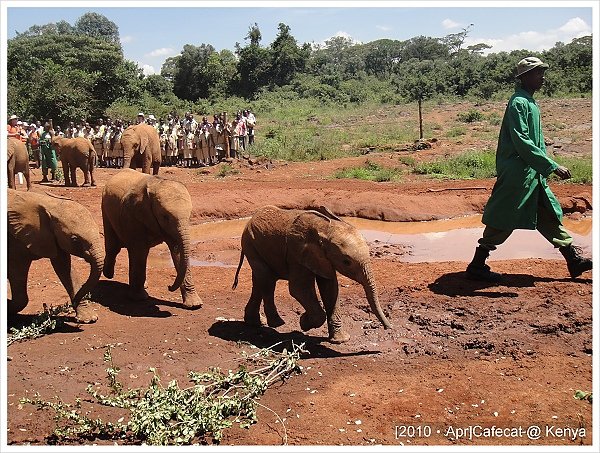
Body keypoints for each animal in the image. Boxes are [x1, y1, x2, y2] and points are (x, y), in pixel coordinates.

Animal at [232, 205, 392, 342]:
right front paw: (303, 323)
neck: (325, 229)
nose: (388, 328)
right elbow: (298, 289)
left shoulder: (323, 259)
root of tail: (250, 220)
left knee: (259, 281)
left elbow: (331, 289)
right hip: (250, 243)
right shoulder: (297, 254)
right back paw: (277, 323)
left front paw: (340, 340)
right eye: (346, 261)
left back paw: (256, 322)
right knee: (267, 280)